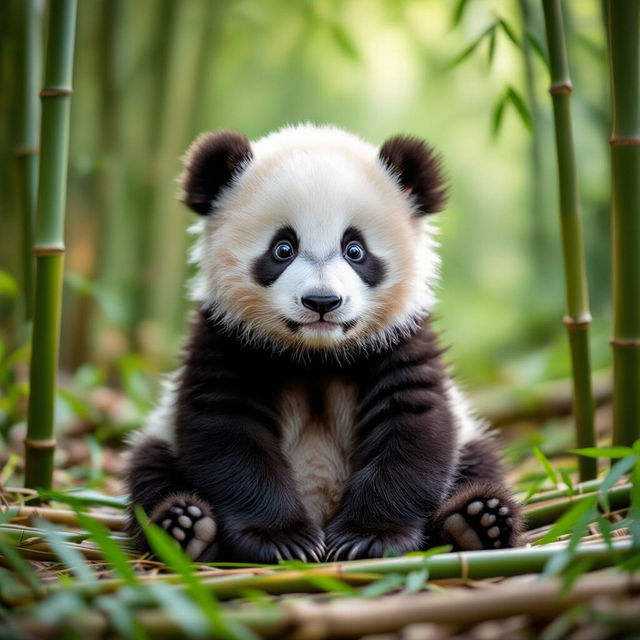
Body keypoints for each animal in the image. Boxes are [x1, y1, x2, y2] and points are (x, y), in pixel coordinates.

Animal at [125, 124, 522, 563]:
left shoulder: (398, 341)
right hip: (161, 436)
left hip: (470, 437)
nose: (321, 301)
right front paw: (283, 539)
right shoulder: (229, 339)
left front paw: (367, 537)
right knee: (150, 468)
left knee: (481, 462)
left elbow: (410, 426)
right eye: (283, 249)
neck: (317, 354)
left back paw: (475, 522)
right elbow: (228, 431)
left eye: (355, 250)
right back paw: (185, 528)